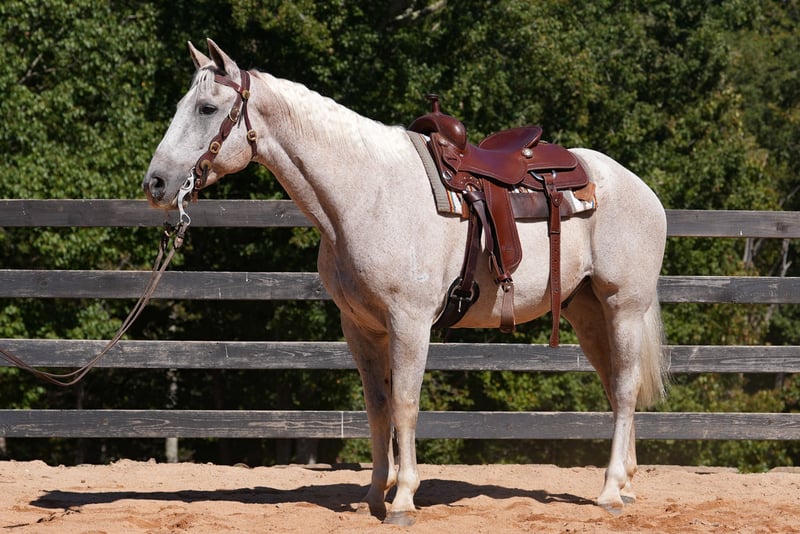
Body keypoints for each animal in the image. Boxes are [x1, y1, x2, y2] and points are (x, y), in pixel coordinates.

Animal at [143, 39, 668, 524]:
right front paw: (376, 494)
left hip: (623, 306)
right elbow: (377, 408)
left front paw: (404, 500)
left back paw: (609, 491)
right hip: (586, 311)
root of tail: (638, 187)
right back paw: (626, 486)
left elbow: (405, 404)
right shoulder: (360, 327)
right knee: (615, 384)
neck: (367, 194)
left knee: (624, 388)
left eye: (208, 108)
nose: (156, 184)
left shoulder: (410, 322)